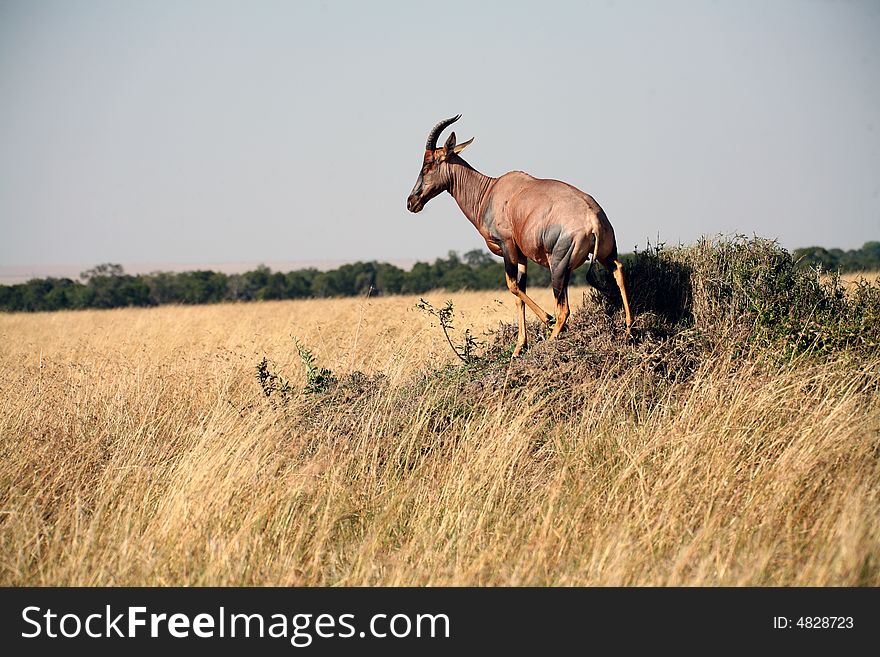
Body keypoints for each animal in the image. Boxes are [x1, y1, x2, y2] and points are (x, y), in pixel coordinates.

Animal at [406, 115, 632, 356]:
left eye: (428, 164)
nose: (411, 202)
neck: (490, 191)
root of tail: (594, 221)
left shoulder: (507, 246)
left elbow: (512, 286)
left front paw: (545, 321)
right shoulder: (522, 255)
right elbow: (519, 293)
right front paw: (519, 347)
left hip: (559, 265)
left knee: (563, 309)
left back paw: (551, 337)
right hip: (606, 254)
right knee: (618, 271)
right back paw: (629, 329)